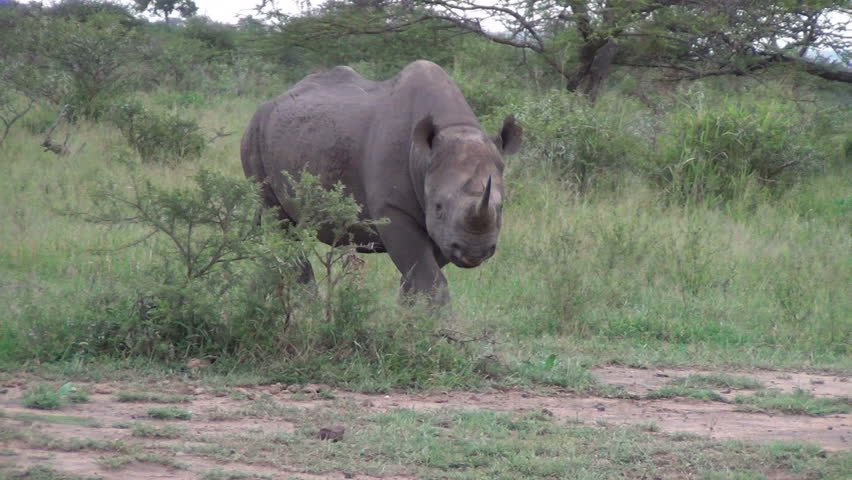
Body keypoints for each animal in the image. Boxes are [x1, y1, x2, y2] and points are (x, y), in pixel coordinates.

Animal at [241, 60, 522, 305]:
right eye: (439, 207)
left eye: (501, 207)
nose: (475, 250)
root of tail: (269, 102)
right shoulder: (393, 209)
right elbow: (429, 277)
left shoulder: (444, 232)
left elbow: (416, 276)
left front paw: (409, 317)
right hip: (254, 132)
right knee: (280, 223)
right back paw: (306, 306)